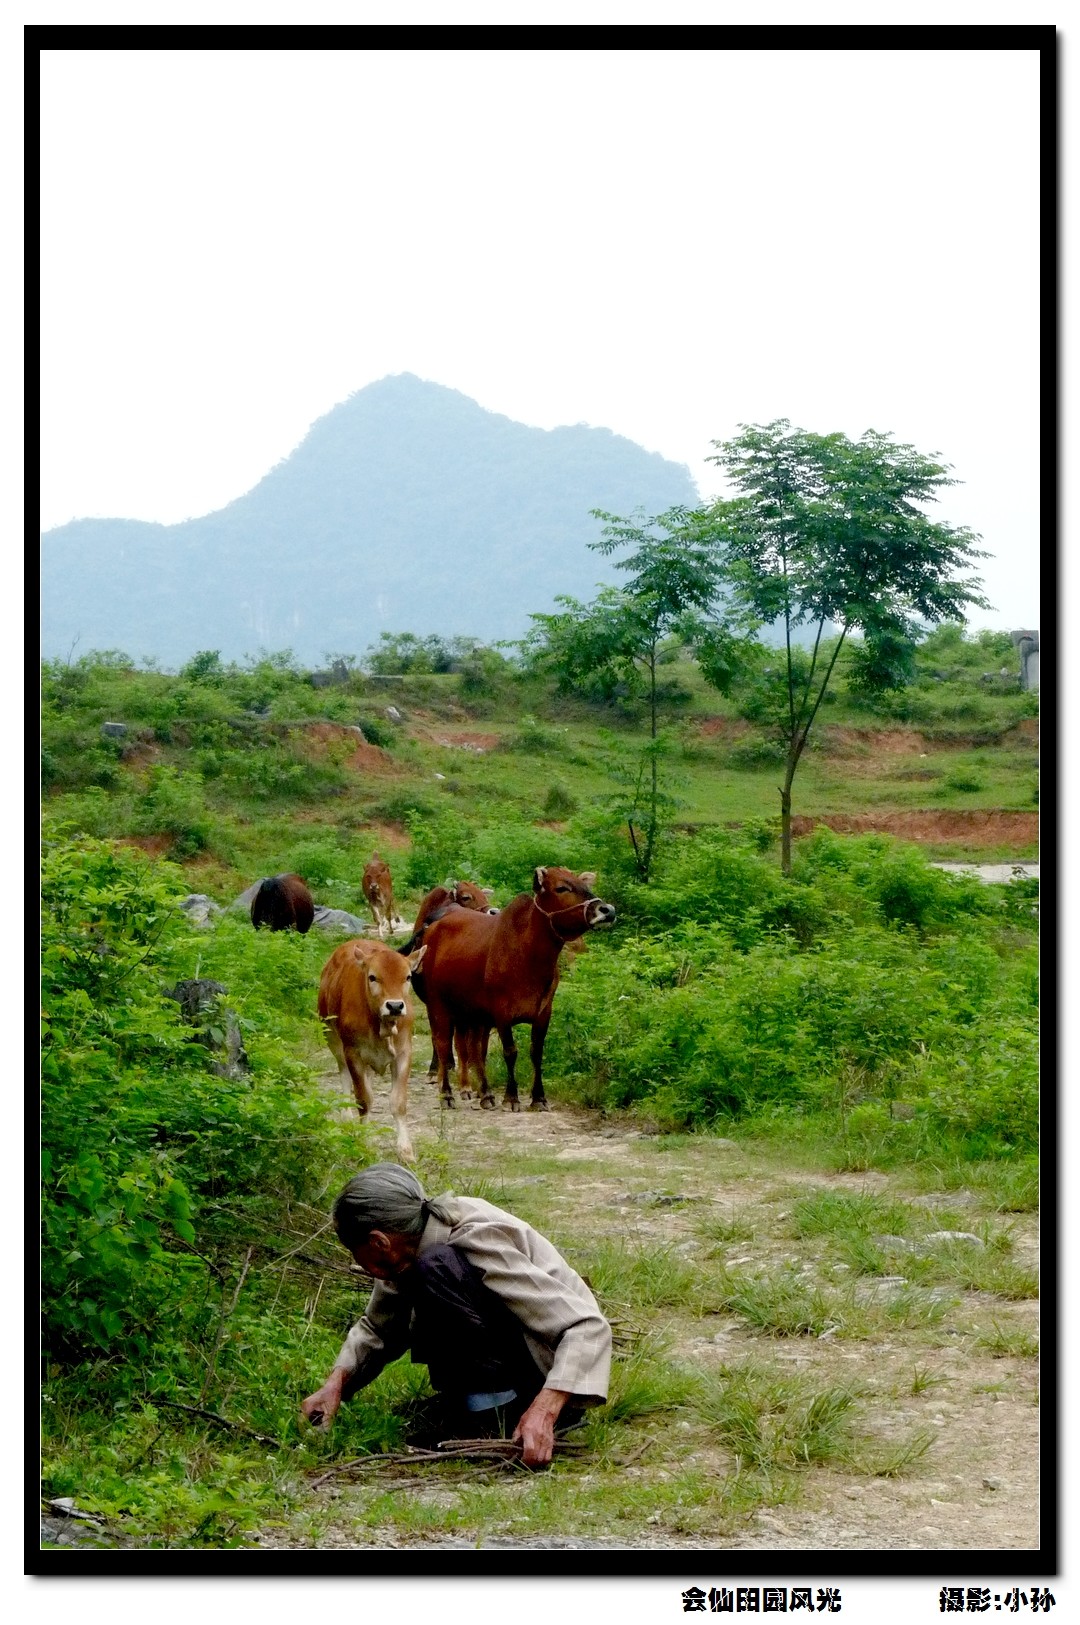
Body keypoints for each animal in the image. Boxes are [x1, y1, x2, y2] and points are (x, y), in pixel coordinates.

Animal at [316, 936, 425, 1163]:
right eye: (373, 977)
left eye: (408, 977)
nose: (395, 1006)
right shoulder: (353, 1053)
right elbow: (363, 1100)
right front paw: (364, 1142)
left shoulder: (404, 1053)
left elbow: (398, 1102)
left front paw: (406, 1151)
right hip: (332, 1038)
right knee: (344, 1075)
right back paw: (346, 1116)